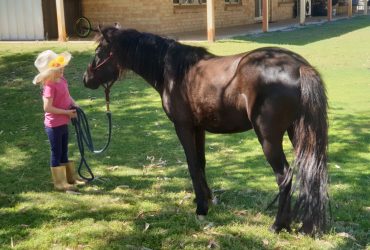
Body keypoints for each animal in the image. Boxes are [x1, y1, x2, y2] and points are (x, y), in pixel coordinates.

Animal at [82, 25, 328, 234]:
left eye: (100, 51)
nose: (86, 79)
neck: (174, 72)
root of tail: (299, 66)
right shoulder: (198, 128)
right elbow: (201, 163)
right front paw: (207, 199)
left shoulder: (183, 127)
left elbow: (192, 165)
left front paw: (201, 208)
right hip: (298, 133)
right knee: (309, 171)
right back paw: (304, 225)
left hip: (269, 138)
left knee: (284, 176)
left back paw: (278, 225)